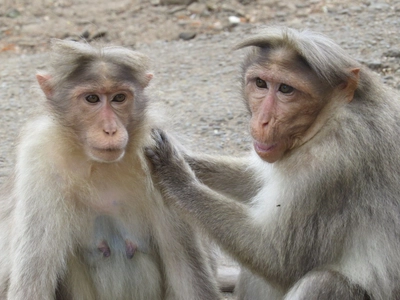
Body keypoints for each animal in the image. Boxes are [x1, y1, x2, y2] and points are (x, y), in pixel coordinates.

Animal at [0, 39, 220, 300]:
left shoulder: (161, 158)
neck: (97, 164)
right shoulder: (40, 162)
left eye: (119, 98)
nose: (110, 129)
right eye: (92, 99)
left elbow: (186, 271)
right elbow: (33, 278)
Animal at [145, 26, 400, 300]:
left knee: (323, 282)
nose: (262, 120)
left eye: (286, 89)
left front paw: (174, 175)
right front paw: (184, 157)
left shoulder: (331, 166)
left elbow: (278, 258)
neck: (329, 118)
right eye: (260, 83)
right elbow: (255, 184)